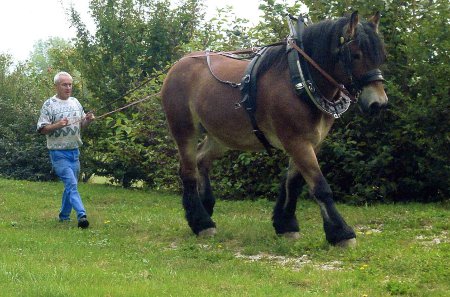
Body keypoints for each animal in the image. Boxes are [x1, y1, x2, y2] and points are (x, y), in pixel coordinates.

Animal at [162, 11, 386, 246]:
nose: (378, 103)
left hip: (221, 135)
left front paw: (286, 224)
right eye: (356, 55)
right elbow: (320, 186)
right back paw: (201, 222)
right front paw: (341, 232)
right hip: (184, 128)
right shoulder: (296, 141)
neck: (300, 78)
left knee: (201, 160)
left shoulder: (311, 142)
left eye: (381, 56)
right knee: (188, 171)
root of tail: (178, 65)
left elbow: (293, 182)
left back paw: (206, 208)